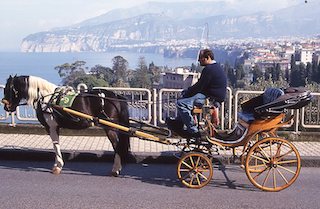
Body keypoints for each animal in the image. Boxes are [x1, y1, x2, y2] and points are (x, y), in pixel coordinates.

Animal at [2, 74, 130, 176]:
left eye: (9, 88)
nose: (6, 107)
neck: (47, 98)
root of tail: (115, 96)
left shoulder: (51, 127)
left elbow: (56, 145)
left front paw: (57, 166)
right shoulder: (55, 127)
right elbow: (56, 144)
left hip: (110, 127)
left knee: (117, 146)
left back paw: (115, 169)